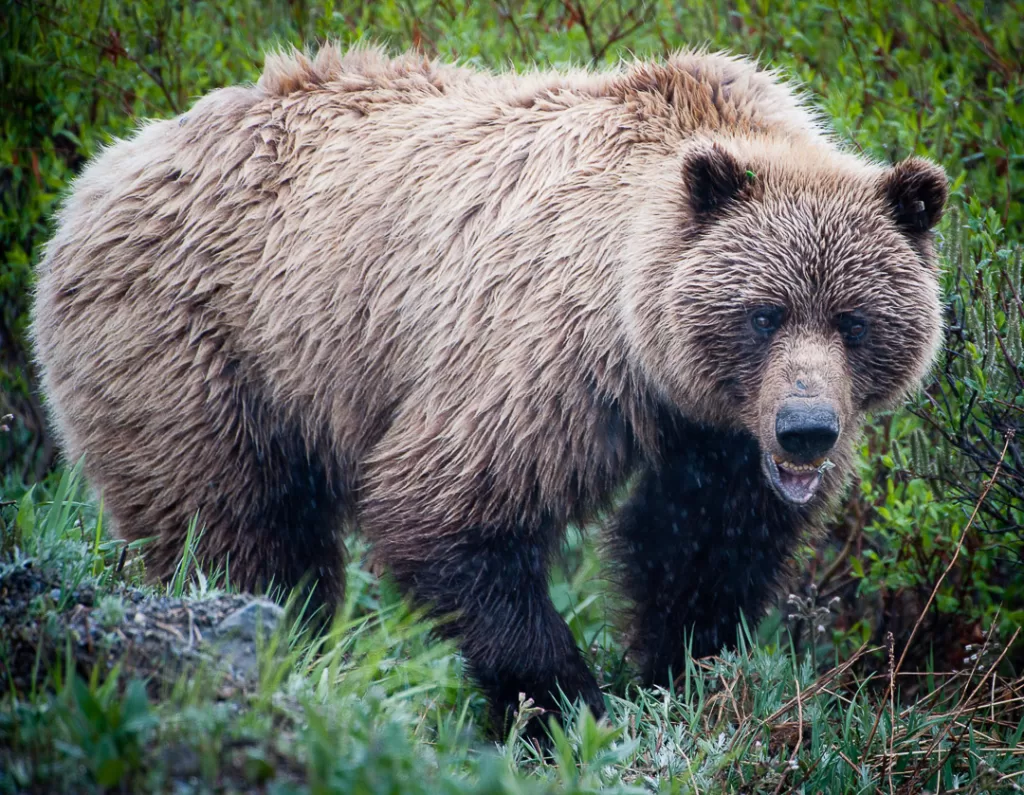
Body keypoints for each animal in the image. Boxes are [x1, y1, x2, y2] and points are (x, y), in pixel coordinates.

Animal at [29, 42, 942, 725]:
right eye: (764, 312)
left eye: (854, 319)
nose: (805, 429)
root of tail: (102, 167)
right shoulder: (551, 355)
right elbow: (446, 505)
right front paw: (564, 704)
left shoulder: (714, 433)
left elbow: (702, 546)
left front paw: (682, 673)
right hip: (196, 347)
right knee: (237, 532)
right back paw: (271, 641)